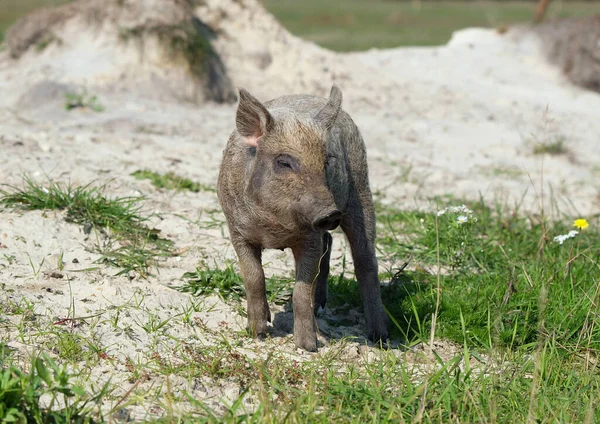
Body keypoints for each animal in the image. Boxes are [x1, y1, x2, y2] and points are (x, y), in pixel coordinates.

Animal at [217, 85, 390, 352]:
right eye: (284, 162)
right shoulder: (237, 231)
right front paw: (257, 333)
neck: (274, 227)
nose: (330, 213)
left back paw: (380, 338)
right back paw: (321, 309)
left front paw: (308, 347)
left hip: (361, 191)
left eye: (326, 161)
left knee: (365, 261)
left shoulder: (309, 239)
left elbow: (302, 289)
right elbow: (254, 277)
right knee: (329, 243)